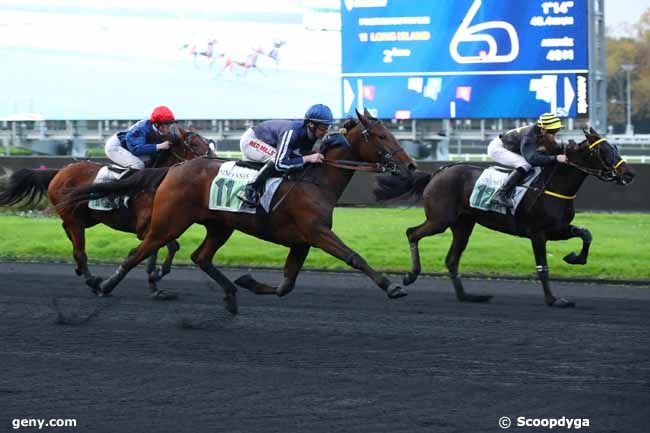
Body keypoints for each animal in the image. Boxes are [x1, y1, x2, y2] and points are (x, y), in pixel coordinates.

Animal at [0, 126, 213, 298]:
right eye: (194, 144)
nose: (212, 159)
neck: (157, 183)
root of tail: (59, 172)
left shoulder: (158, 227)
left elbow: (161, 250)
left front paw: (155, 285)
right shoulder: (146, 228)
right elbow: (169, 246)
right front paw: (156, 276)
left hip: (87, 217)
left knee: (67, 231)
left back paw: (80, 270)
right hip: (74, 217)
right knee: (80, 251)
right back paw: (92, 281)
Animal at [62, 109, 416, 314]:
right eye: (382, 135)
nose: (411, 166)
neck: (316, 181)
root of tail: (174, 168)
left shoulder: (301, 241)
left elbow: (286, 285)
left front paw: (249, 281)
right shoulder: (317, 233)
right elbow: (353, 257)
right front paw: (392, 286)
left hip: (220, 225)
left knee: (200, 257)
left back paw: (232, 293)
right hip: (169, 222)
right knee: (139, 251)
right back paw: (105, 286)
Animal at [374, 127, 632, 308]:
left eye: (615, 147)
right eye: (603, 150)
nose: (629, 174)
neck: (553, 186)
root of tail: (437, 173)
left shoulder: (558, 230)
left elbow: (586, 234)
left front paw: (574, 258)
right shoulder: (538, 234)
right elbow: (543, 268)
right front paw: (554, 300)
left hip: (463, 225)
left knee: (451, 259)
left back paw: (468, 296)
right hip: (440, 220)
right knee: (412, 233)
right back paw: (411, 276)